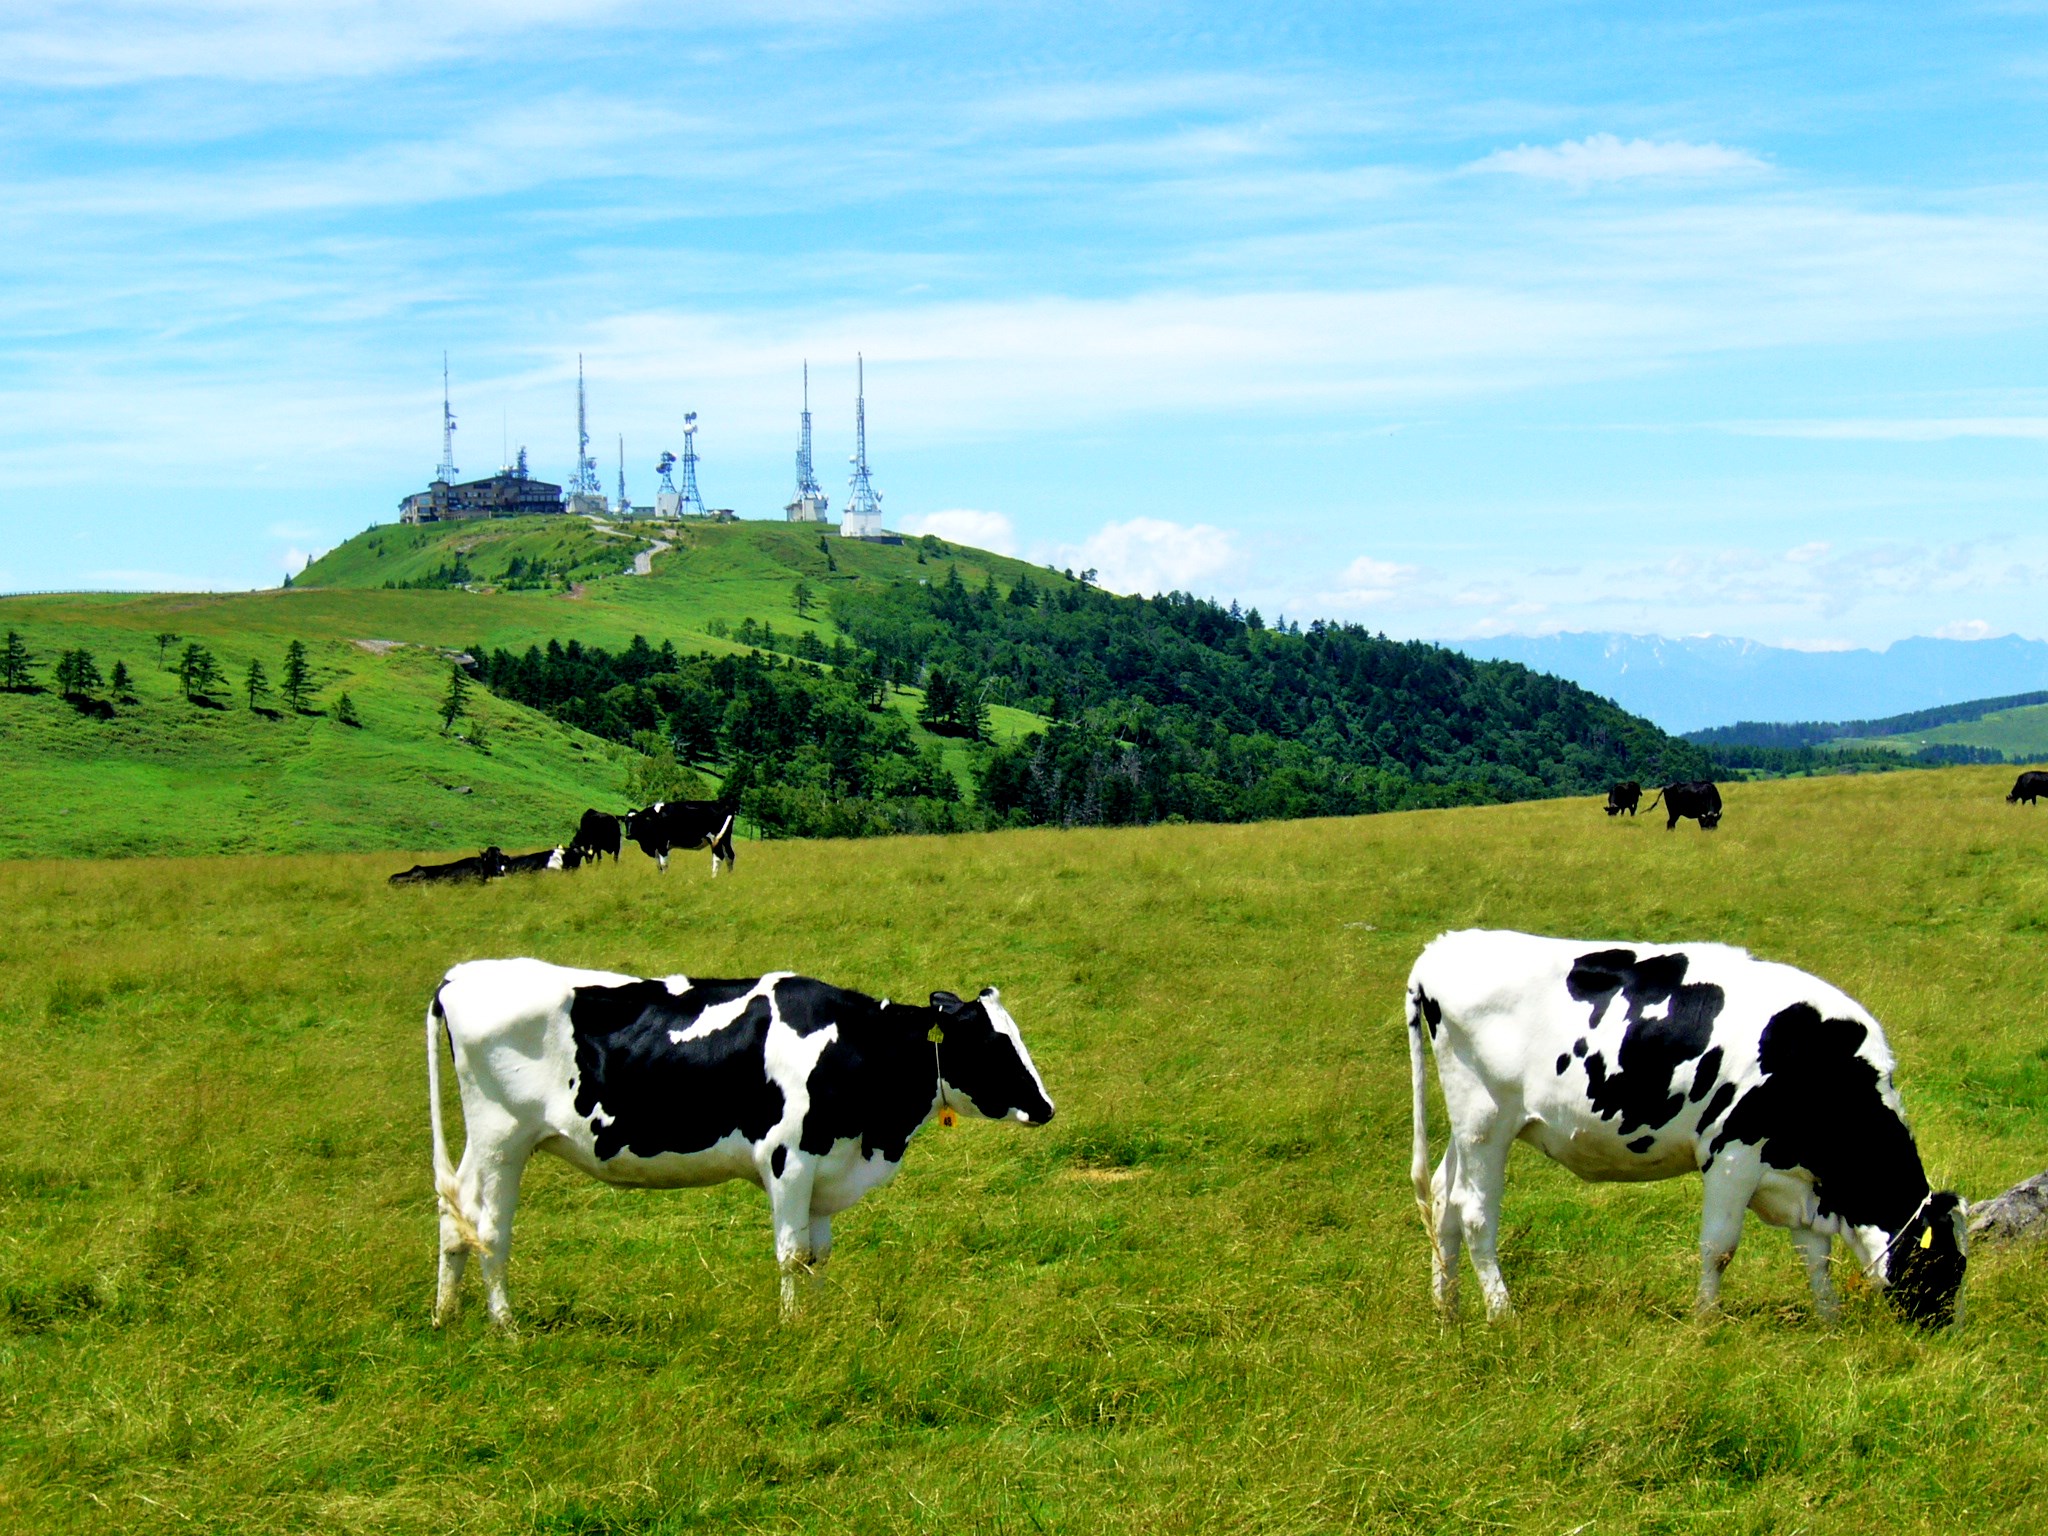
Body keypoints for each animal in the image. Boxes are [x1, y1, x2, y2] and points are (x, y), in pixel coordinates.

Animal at [419, 962, 1056, 1327]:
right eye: (992, 1044)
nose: (1047, 1107)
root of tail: (461, 975)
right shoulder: (789, 1160)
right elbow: (792, 1254)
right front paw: (791, 1328)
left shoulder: (826, 1168)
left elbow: (819, 1254)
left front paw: (815, 1322)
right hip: (503, 1137)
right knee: (490, 1229)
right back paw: (505, 1327)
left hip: (484, 1142)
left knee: (456, 1214)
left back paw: (445, 1316)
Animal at [1409, 933, 1966, 1327]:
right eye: (1950, 1264)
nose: (1946, 1331)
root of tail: (1444, 947)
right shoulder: (1733, 1154)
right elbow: (1719, 1248)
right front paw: (1704, 1321)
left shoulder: (1800, 1179)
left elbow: (1814, 1257)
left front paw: (1829, 1319)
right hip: (1486, 1120)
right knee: (1475, 1213)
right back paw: (1502, 1313)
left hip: (1466, 1126)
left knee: (1442, 1199)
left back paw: (1446, 1309)